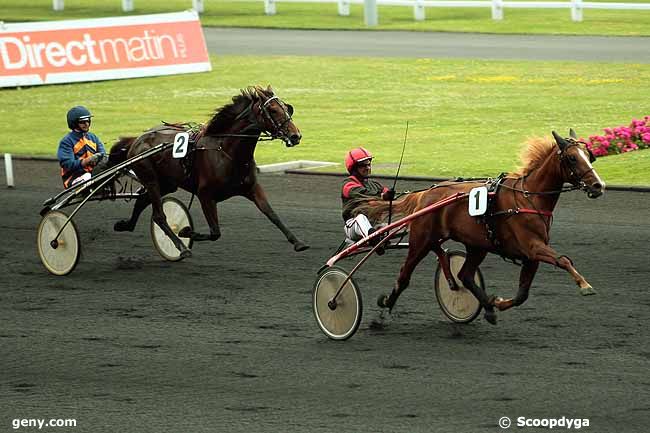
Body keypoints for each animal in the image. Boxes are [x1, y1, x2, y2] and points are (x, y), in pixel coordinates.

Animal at [109, 86, 308, 258]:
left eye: (287, 108)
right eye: (273, 110)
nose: (295, 136)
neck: (227, 151)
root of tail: (137, 139)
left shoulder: (252, 188)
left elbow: (272, 214)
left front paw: (298, 242)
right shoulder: (204, 194)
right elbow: (215, 232)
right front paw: (185, 231)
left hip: (166, 183)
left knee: (142, 200)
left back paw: (125, 225)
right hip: (151, 179)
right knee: (158, 215)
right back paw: (181, 247)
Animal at [354, 131, 604, 324]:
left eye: (589, 156)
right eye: (572, 158)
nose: (598, 186)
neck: (528, 197)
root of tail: (425, 194)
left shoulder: (531, 256)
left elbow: (522, 294)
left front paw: (496, 303)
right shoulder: (532, 247)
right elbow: (563, 260)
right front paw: (585, 284)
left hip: (477, 245)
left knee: (463, 275)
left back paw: (487, 307)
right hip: (421, 242)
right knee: (404, 276)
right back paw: (383, 312)